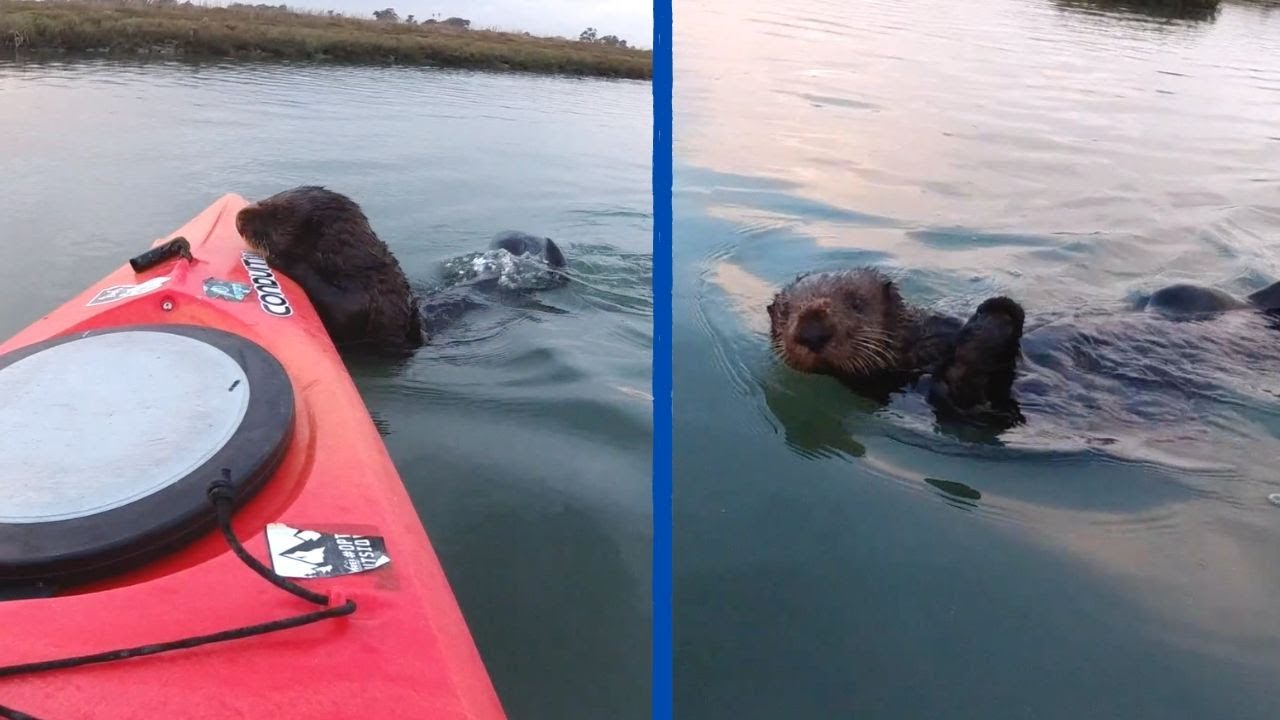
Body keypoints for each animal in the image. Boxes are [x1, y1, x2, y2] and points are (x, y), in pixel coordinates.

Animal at [236, 186, 425, 356]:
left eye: (278, 214)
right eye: (270, 198)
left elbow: (344, 309)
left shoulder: (363, 294)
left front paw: (277, 259)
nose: (239, 217)